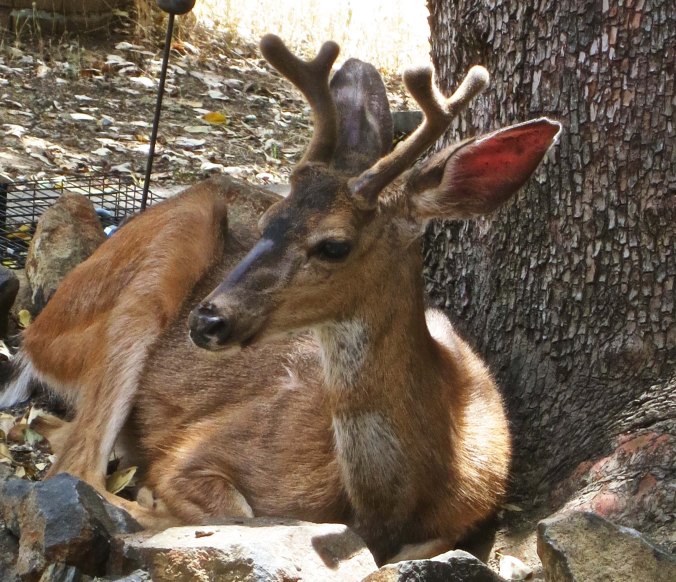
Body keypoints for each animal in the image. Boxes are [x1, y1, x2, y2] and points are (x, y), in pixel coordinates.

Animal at [0, 35, 561, 564]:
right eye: (271, 220)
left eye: (334, 245)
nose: (207, 320)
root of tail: (33, 337)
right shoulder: (194, 451)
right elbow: (231, 511)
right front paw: (154, 502)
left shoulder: (461, 518)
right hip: (155, 268)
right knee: (75, 465)